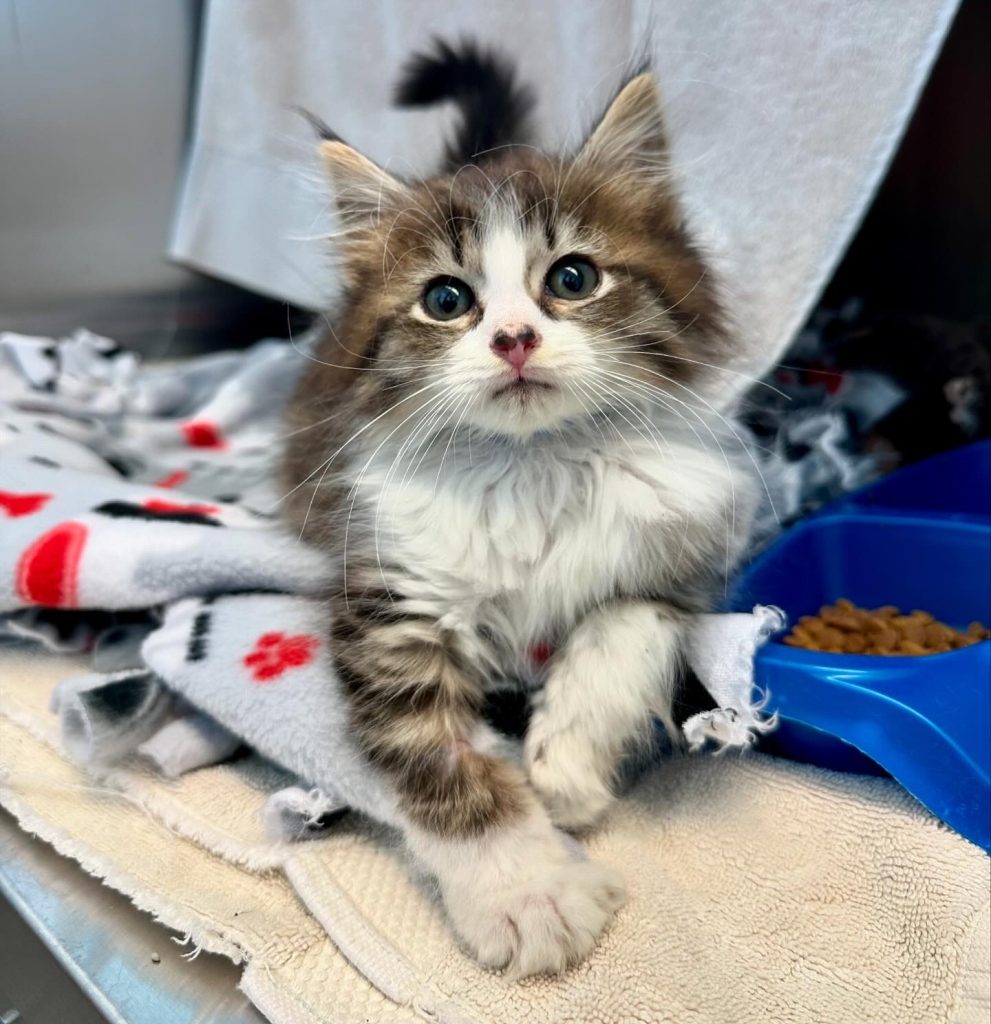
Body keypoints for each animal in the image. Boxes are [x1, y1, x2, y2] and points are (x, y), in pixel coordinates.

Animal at [283, 39, 758, 977]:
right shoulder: (394, 605)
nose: (513, 338)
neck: (534, 463)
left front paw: (565, 769)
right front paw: (528, 894)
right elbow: (446, 767)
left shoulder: (680, 563)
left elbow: (621, 627)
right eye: (446, 299)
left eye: (571, 278)